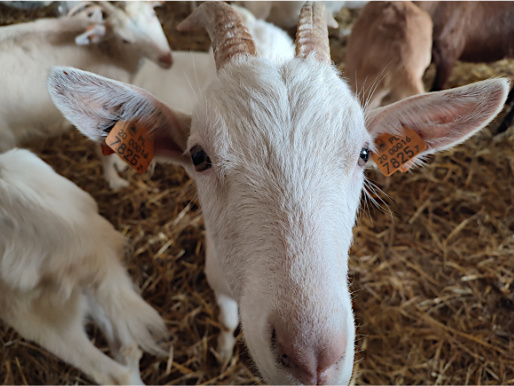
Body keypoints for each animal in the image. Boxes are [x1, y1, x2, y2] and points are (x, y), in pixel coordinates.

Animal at [47, 2, 508, 382]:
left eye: (364, 153)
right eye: (198, 156)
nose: (311, 359)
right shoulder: (217, 276)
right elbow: (228, 321)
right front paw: (222, 353)